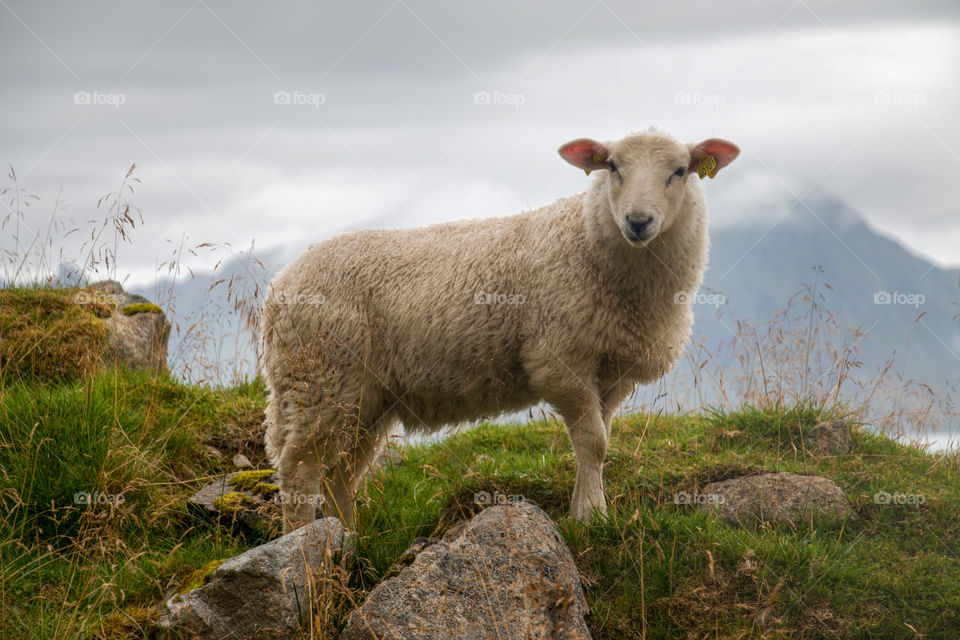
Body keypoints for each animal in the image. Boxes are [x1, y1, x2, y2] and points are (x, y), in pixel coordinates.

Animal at [262, 126, 744, 528]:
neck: (589, 242)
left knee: (341, 474)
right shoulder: (560, 359)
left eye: (679, 171)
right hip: (320, 377)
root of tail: (280, 284)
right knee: (300, 467)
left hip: (364, 396)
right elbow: (592, 441)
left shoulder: (612, 370)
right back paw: (304, 548)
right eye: (612, 167)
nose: (638, 221)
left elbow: (600, 443)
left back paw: (346, 543)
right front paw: (592, 518)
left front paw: (583, 511)